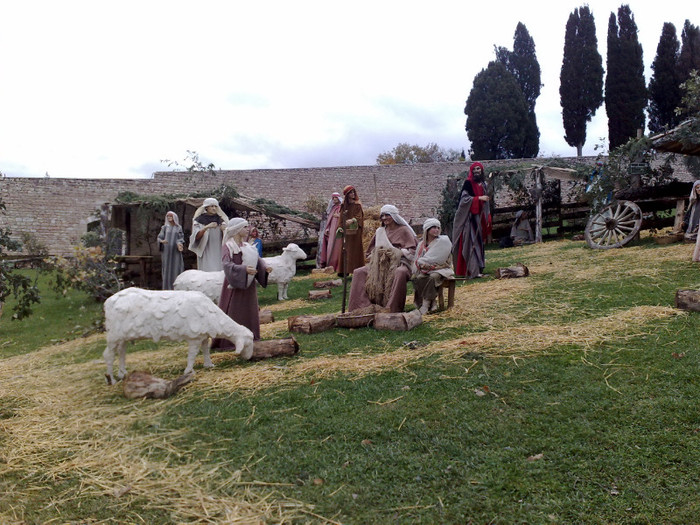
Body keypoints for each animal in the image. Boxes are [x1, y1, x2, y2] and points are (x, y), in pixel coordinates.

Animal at [102, 286, 256, 384]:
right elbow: (192, 355)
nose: (249, 358)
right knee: (109, 355)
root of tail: (108, 302)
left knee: (121, 352)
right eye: (248, 343)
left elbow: (205, 350)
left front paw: (209, 365)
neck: (213, 316)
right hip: (113, 335)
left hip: (122, 337)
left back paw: (123, 373)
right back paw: (112, 379)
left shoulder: (203, 336)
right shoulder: (194, 337)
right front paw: (188, 371)